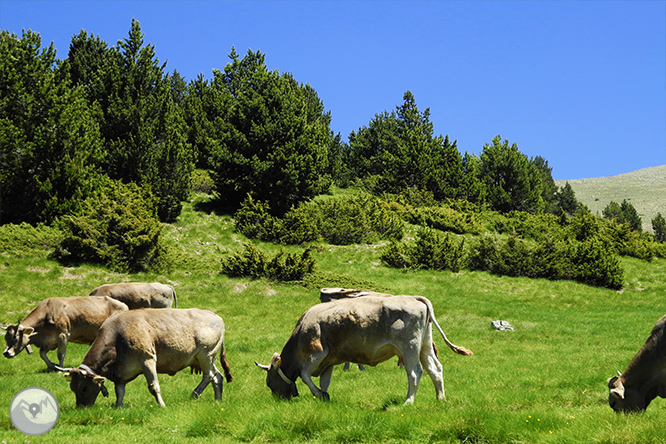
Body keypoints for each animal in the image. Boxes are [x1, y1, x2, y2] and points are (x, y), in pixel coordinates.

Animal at [57, 308, 233, 406]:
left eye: (83, 388)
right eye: (72, 388)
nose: (81, 408)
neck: (118, 336)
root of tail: (215, 316)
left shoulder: (147, 360)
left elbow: (153, 386)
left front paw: (161, 405)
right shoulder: (121, 371)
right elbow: (119, 391)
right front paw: (118, 406)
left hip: (206, 355)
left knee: (209, 376)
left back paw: (195, 394)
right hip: (206, 358)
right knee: (217, 376)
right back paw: (217, 400)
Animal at [255, 296, 472, 404]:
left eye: (269, 383)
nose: (279, 400)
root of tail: (416, 298)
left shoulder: (316, 353)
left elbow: (304, 375)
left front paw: (319, 394)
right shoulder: (328, 361)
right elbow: (324, 381)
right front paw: (323, 397)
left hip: (409, 347)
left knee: (415, 373)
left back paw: (408, 401)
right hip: (425, 346)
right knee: (435, 370)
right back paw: (440, 399)